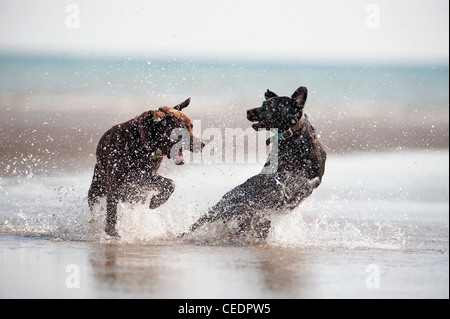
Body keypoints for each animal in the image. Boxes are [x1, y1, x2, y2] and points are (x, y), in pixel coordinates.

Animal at [185, 86, 326, 241]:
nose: (249, 111)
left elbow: (306, 186)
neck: (294, 141)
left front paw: (289, 197)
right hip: (220, 209)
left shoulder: (316, 175)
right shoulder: (273, 172)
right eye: (263, 103)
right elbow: (278, 183)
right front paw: (283, 194)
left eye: (271, 105)